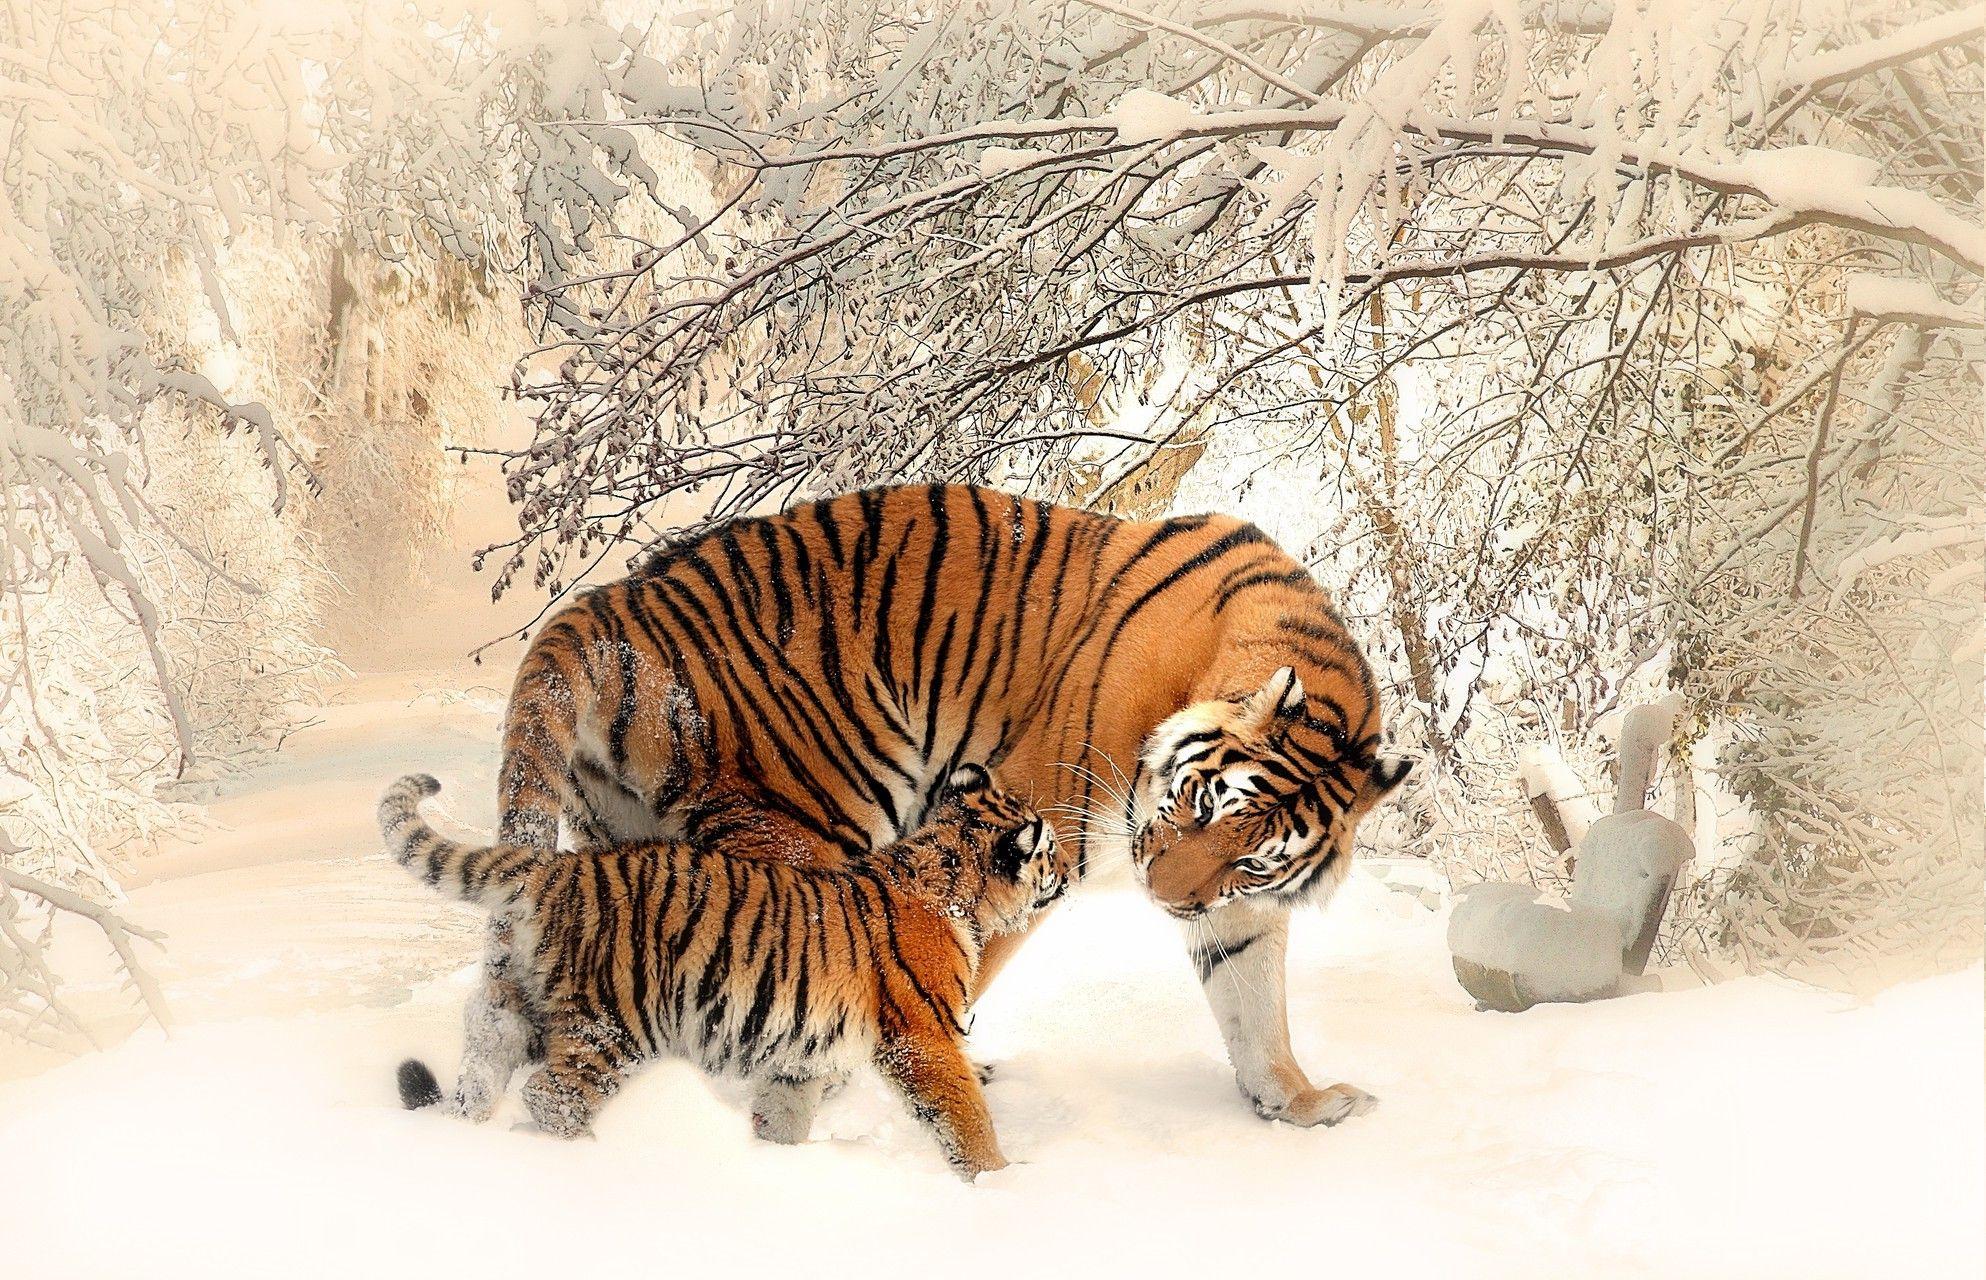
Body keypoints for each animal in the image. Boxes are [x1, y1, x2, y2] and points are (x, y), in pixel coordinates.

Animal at [380, 763, 1072, 1179]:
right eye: (1048, 850)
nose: (1069, 872)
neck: (950, 879)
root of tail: (557, 867)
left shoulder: (800, 1056)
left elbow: (784, 1114)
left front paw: (773, 1164)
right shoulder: (924, 1040)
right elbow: (966, 1116)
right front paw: (1001, 1183)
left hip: (520, 1006)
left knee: (484, 1066)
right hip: (614, 1022)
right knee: (550, 1094)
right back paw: (592, 1157)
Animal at [467, 483, 1408, 1137]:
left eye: (1252, 856)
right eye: (1201, 804)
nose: (1166, 898)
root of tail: (604, 605)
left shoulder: (1235, 906)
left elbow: (1254, 1002)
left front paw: (1298, 1102)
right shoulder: (1032, 826)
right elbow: (954, 969)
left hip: (628, 845)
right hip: (804, 823)